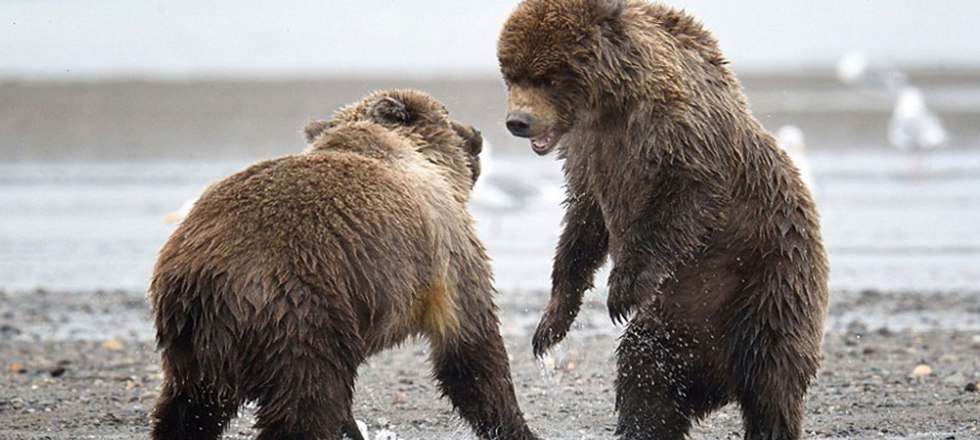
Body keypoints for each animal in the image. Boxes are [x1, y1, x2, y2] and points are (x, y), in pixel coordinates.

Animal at [149, 89, 540, 440]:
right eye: (446, 112)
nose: (476, 133)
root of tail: (207, 279)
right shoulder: (446, 244)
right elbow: (471, 345)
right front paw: (515, 426)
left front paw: (353, 429)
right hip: (300, 313)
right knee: (307, 400)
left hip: (194, 344)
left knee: (190, 406)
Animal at [502, 0, 832, 440]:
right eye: (511, 73)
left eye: (548, 77)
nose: (518, 122)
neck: (610, 103)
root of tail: (719, 374)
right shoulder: (586, 154)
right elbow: (582, 225)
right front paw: (549, 325)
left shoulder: (678, 128)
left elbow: (683, 197)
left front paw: (623, 288)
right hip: (675, 320)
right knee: (646, 375)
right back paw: (643, 424)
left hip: (771, 277)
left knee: (771, 374)